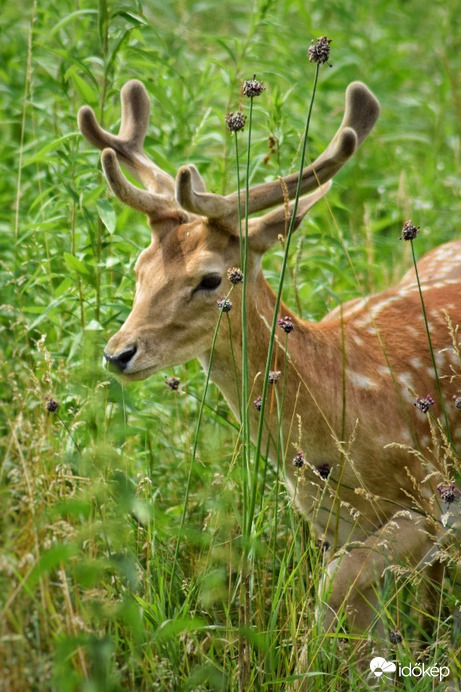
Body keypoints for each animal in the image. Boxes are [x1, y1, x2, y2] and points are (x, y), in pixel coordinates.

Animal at [77, 79, 458, 648]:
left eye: (211, 278)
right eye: (140, 267)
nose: (118, 352)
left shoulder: (435, 496)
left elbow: (333, 587)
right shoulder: (330, 521)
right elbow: (353, 611)